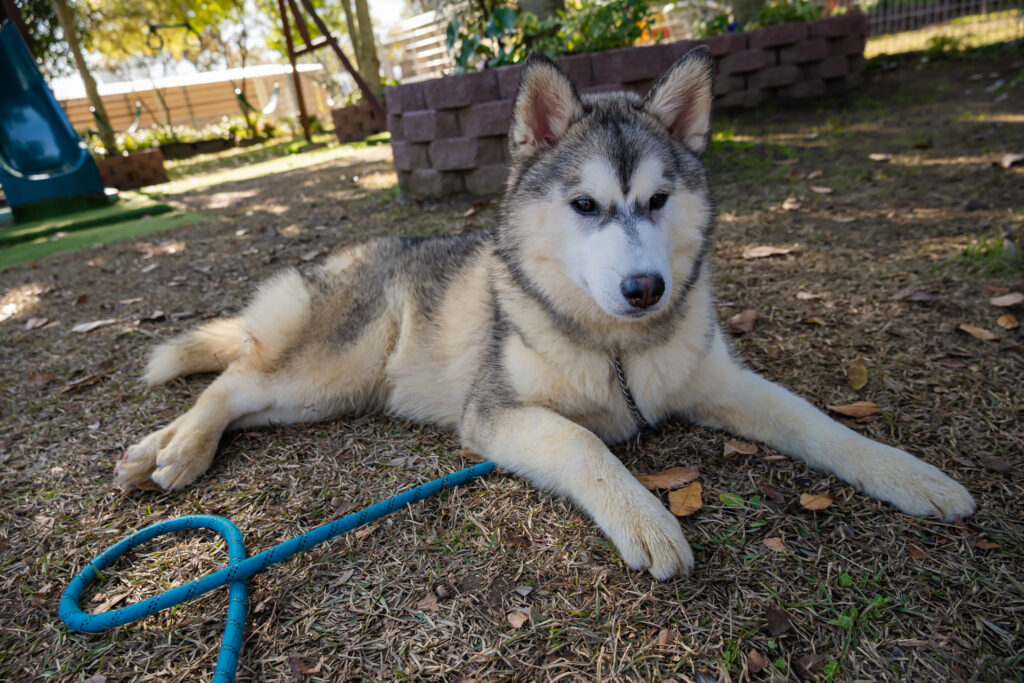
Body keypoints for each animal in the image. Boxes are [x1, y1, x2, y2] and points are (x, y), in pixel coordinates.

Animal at [115, 49, 976, 579]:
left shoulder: (716, 379)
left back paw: (150, 451)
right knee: (234, 380)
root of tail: (343, 253)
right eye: (585, 205)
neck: (616, 344)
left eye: (658, 200)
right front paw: (644, 516)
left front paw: (908, 475)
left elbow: (814, 420)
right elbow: (582, 443)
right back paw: (181, 450)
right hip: (336, 369)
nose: (645, 288)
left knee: (237, 379)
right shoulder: (496, 412)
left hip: (325, 393)